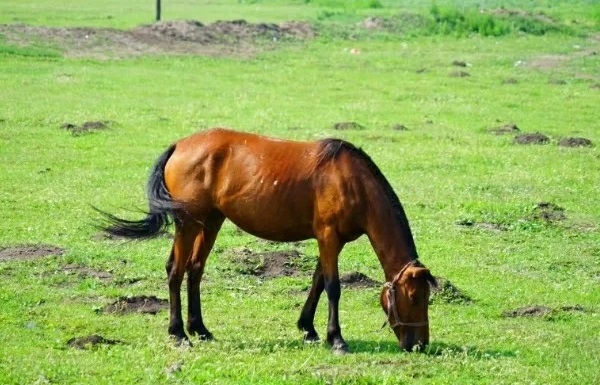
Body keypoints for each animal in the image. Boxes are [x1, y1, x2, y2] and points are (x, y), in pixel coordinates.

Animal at [97, 127, 436, 352]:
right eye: (414, 298)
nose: (419, 345)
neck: (351, 181)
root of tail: (179, 145)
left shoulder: (329, 240)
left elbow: (317, 281)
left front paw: (309, 329)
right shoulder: (328, 236)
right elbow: (332, 287)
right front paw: (336, 338)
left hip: (211, 221)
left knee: (194, 270)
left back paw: (200, 329)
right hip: (188, 224)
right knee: (176, 271)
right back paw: (178, 333)